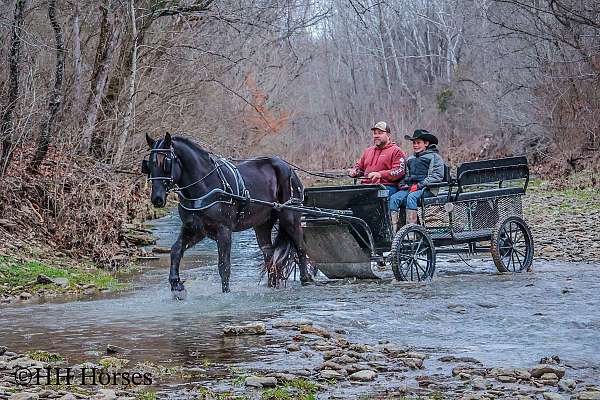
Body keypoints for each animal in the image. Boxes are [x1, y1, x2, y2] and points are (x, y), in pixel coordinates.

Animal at [143, 132, 314, 296]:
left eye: (165, 162)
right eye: (149, 164)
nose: (157, 199)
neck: (205, 186)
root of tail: (289, 169)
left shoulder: (223, 230)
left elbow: (224, 266)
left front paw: (226, 293)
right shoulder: (195, 229)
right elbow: (176, 251)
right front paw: (177, 286)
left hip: (290, 218)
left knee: (301, 247)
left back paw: (306, 280)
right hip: (262, 224)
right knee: (269, 255)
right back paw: (272, 286)